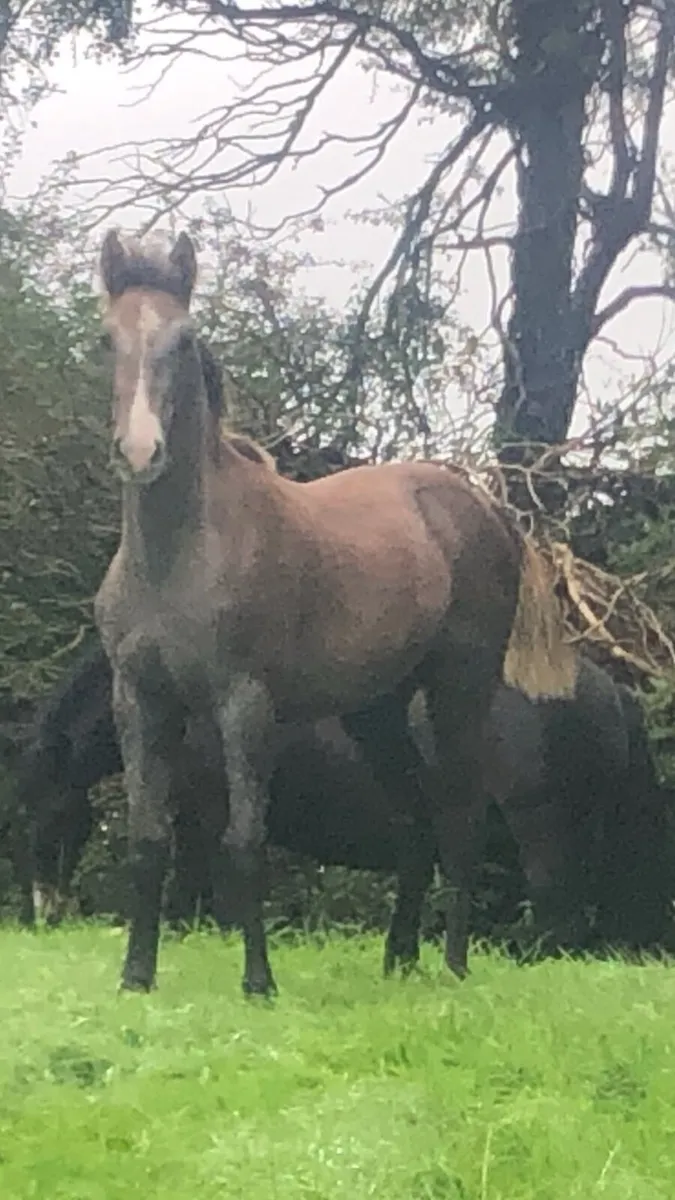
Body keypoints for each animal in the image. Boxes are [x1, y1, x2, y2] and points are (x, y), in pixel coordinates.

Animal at [95, 228, 576, 996]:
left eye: (184, 337)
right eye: (105, 338)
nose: (141, 451)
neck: (179, 557)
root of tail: (486, 508)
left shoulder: (244, 706)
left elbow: (244, 843)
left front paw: (258, 983)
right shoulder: (139, 701)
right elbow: (148, 839)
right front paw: (136, 979)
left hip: (459, 690)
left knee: (459, 817)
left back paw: (452, 965)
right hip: (375, 711)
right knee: (413, 821)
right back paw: (397, 961)